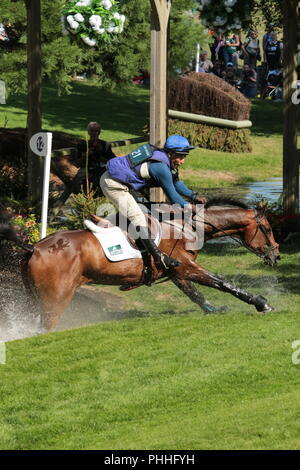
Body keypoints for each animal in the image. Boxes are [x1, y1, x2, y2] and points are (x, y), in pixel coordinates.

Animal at [0, 198, 280, 330]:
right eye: (267, 229)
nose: (276, 256)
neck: (188, 225)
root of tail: (34, 248)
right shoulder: (184, 266)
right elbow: (221, 282)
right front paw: (261, 303)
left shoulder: (177, 272)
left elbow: (195, 294)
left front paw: (213, 309)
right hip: (55, 301)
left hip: (34, 297)